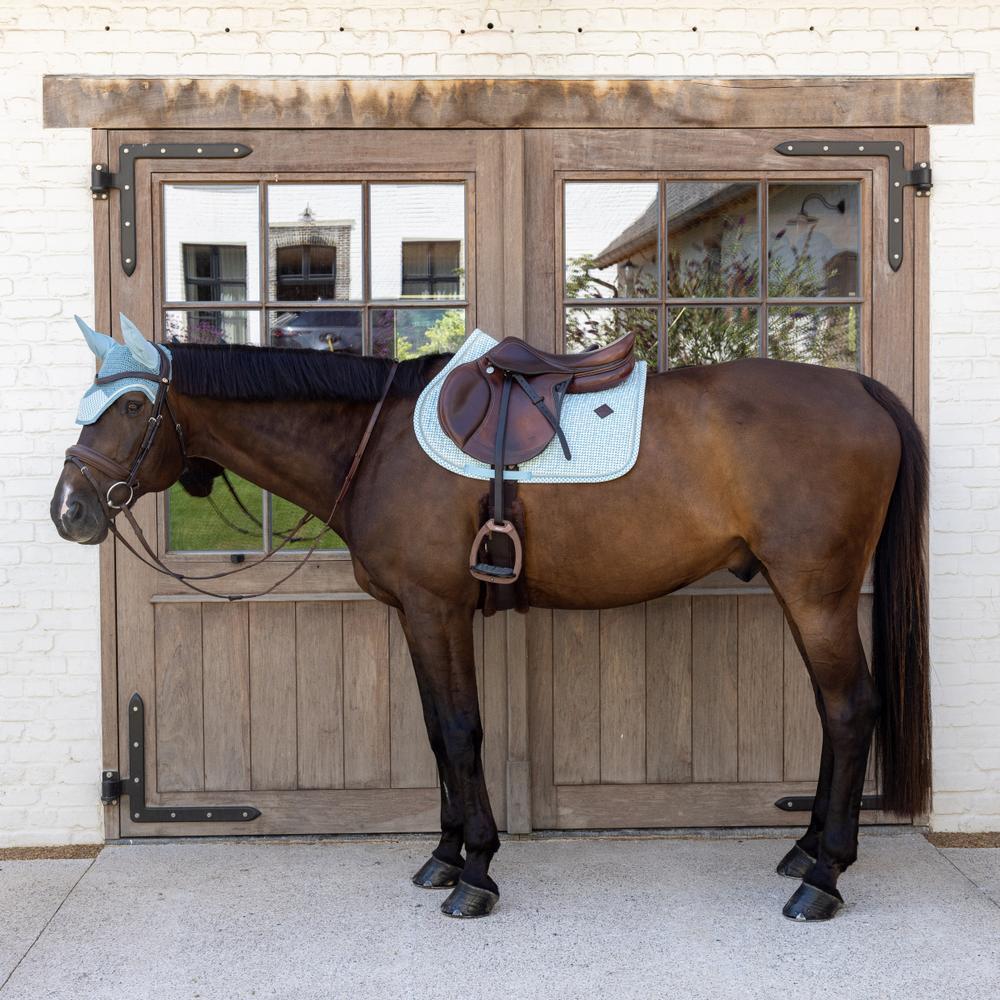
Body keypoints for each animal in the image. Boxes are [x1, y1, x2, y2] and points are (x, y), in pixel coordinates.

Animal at [51, 316, 930, 922]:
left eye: (131, 406)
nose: (69, 511)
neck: (374, 443)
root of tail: (860, 389)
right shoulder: (417, 614)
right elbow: (439, 733)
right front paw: (443, 858)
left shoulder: (437, 608)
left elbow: (462, 730)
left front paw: (474, 875)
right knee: (834, 712)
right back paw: (805, 852)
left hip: (815, 592)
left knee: (851, 709)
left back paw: (824, 878)